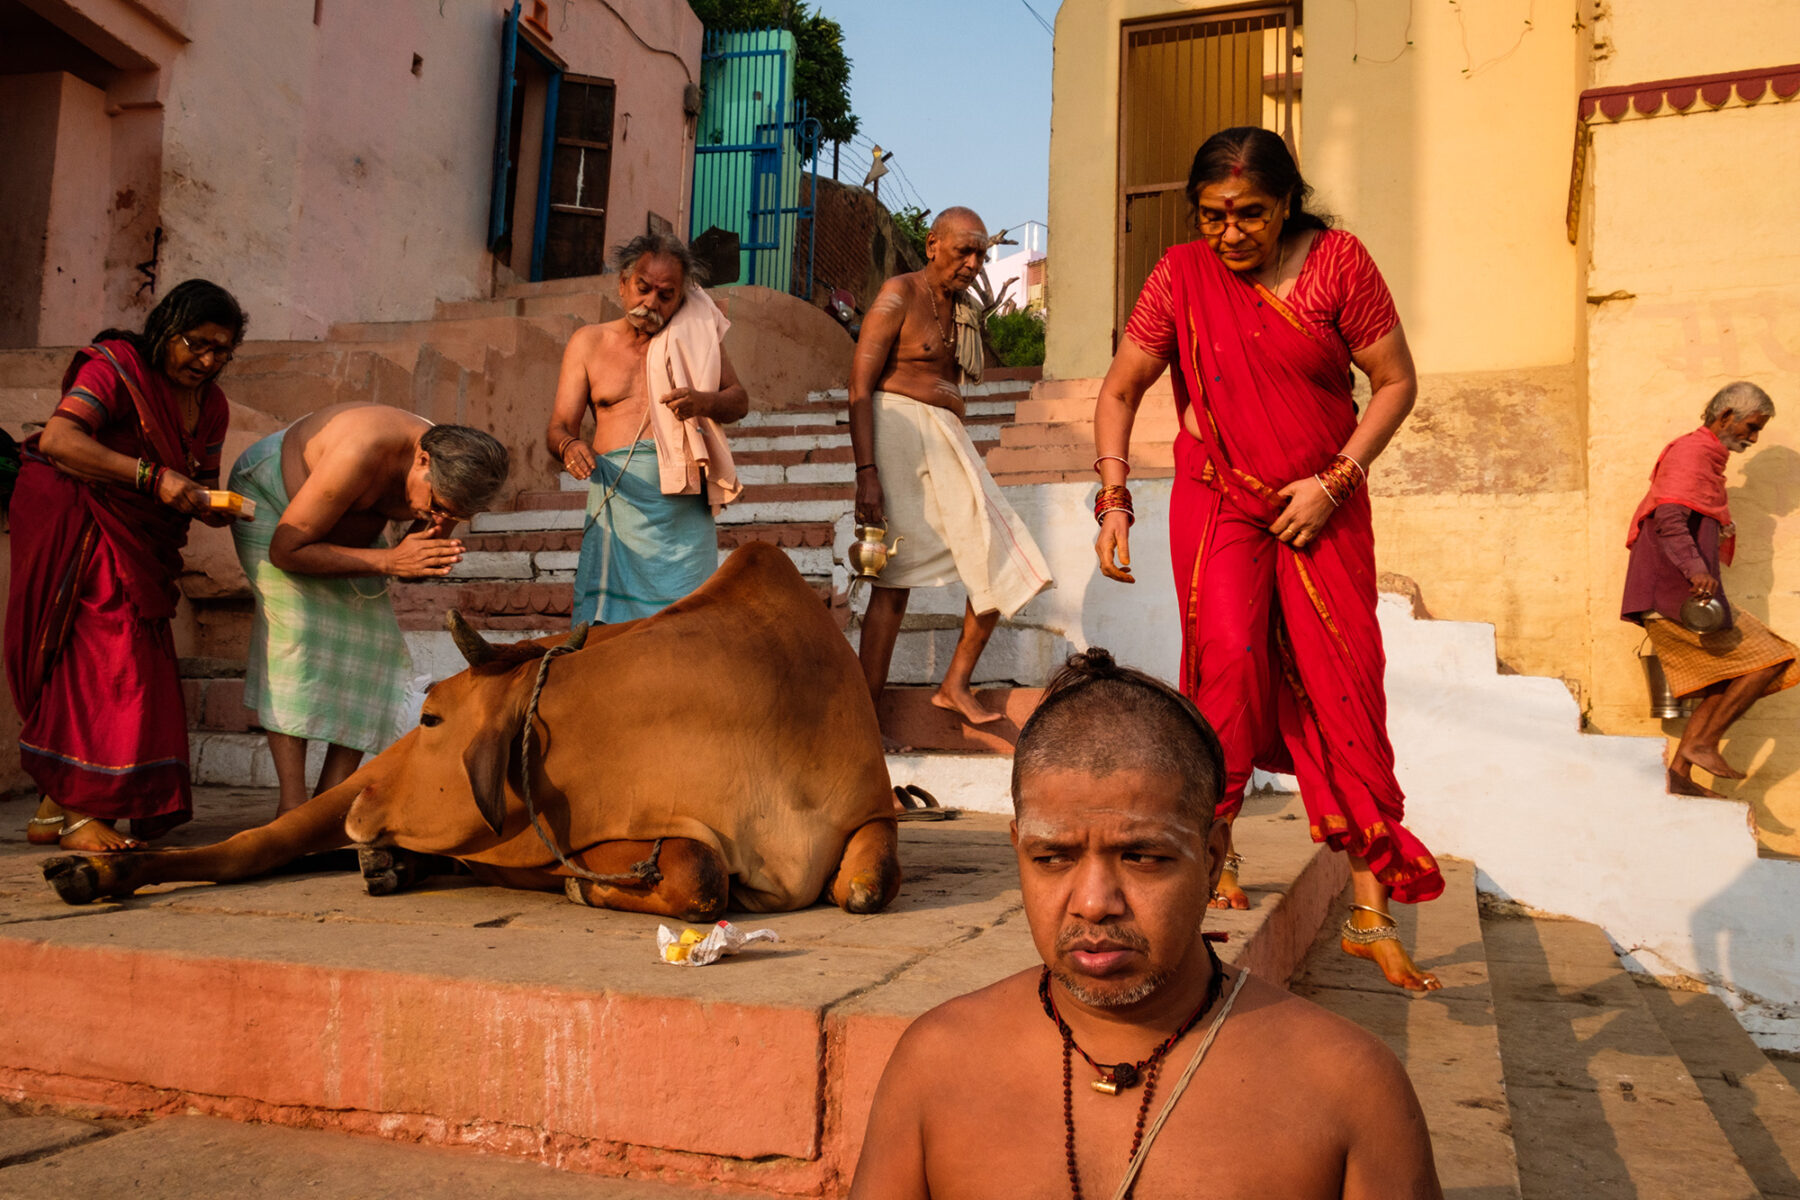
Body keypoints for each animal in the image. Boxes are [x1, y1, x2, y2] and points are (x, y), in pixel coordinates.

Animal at [45, 543, 900, 921]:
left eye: (432, 716)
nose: (370, 807)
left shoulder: (872, 811)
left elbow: (867, 884)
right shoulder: (618, 834)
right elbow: (700, 871)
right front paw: (584, 888)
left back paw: (393, 864)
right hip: (339, 796)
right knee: (247, 849)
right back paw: (97, 868)